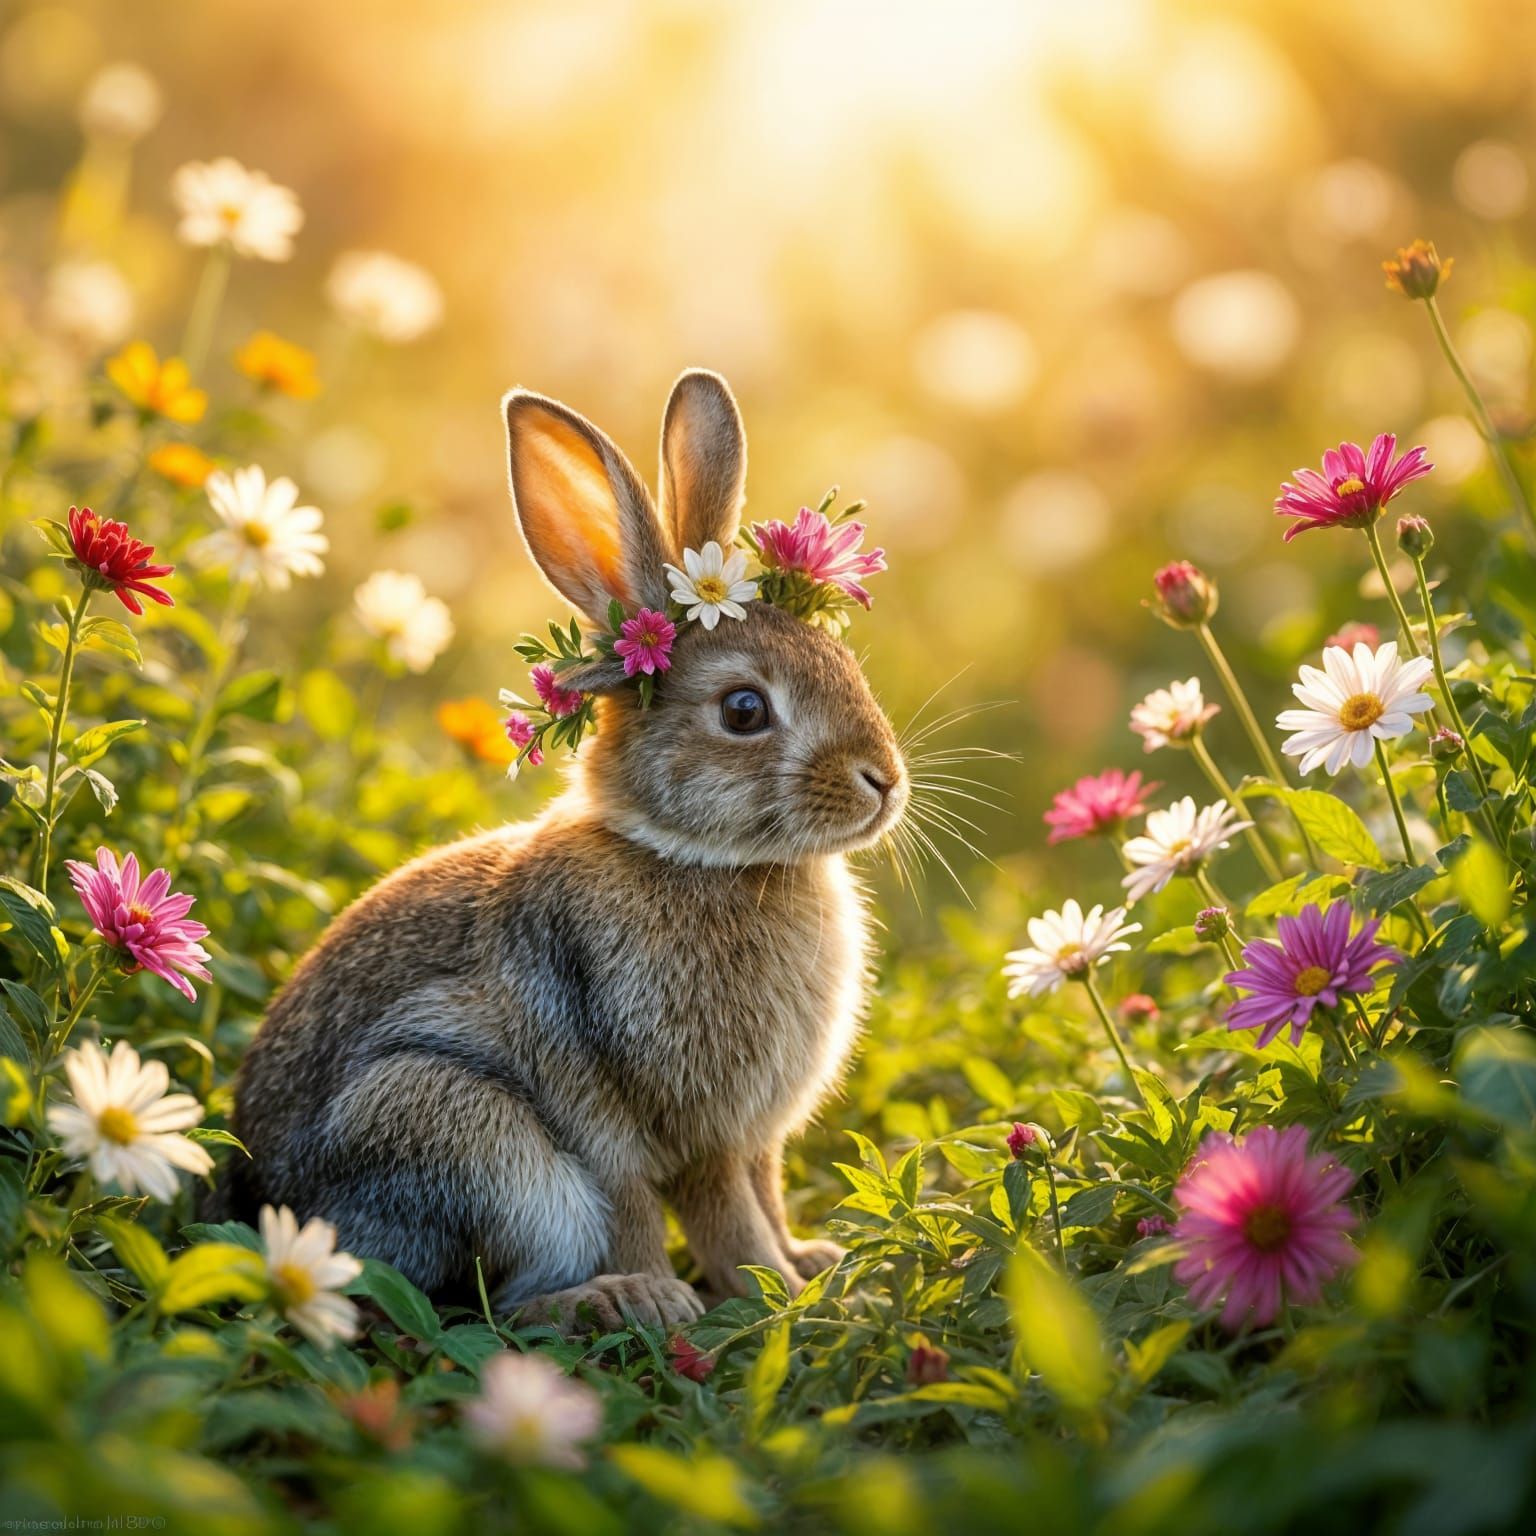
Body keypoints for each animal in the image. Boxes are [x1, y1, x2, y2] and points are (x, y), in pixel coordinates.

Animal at [227, 369, 909, 1331]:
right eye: (744, 710)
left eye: (840, 662)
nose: (883, 780)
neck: (693, 859)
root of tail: (267, 1212)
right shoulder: (680, 1121)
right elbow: (719, 1215)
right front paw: (783, 1295)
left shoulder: (754, 1136)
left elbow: (766, 1193)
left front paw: (816, 1262)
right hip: (453, 1125)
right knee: (489, 1306)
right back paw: (631, 1301)